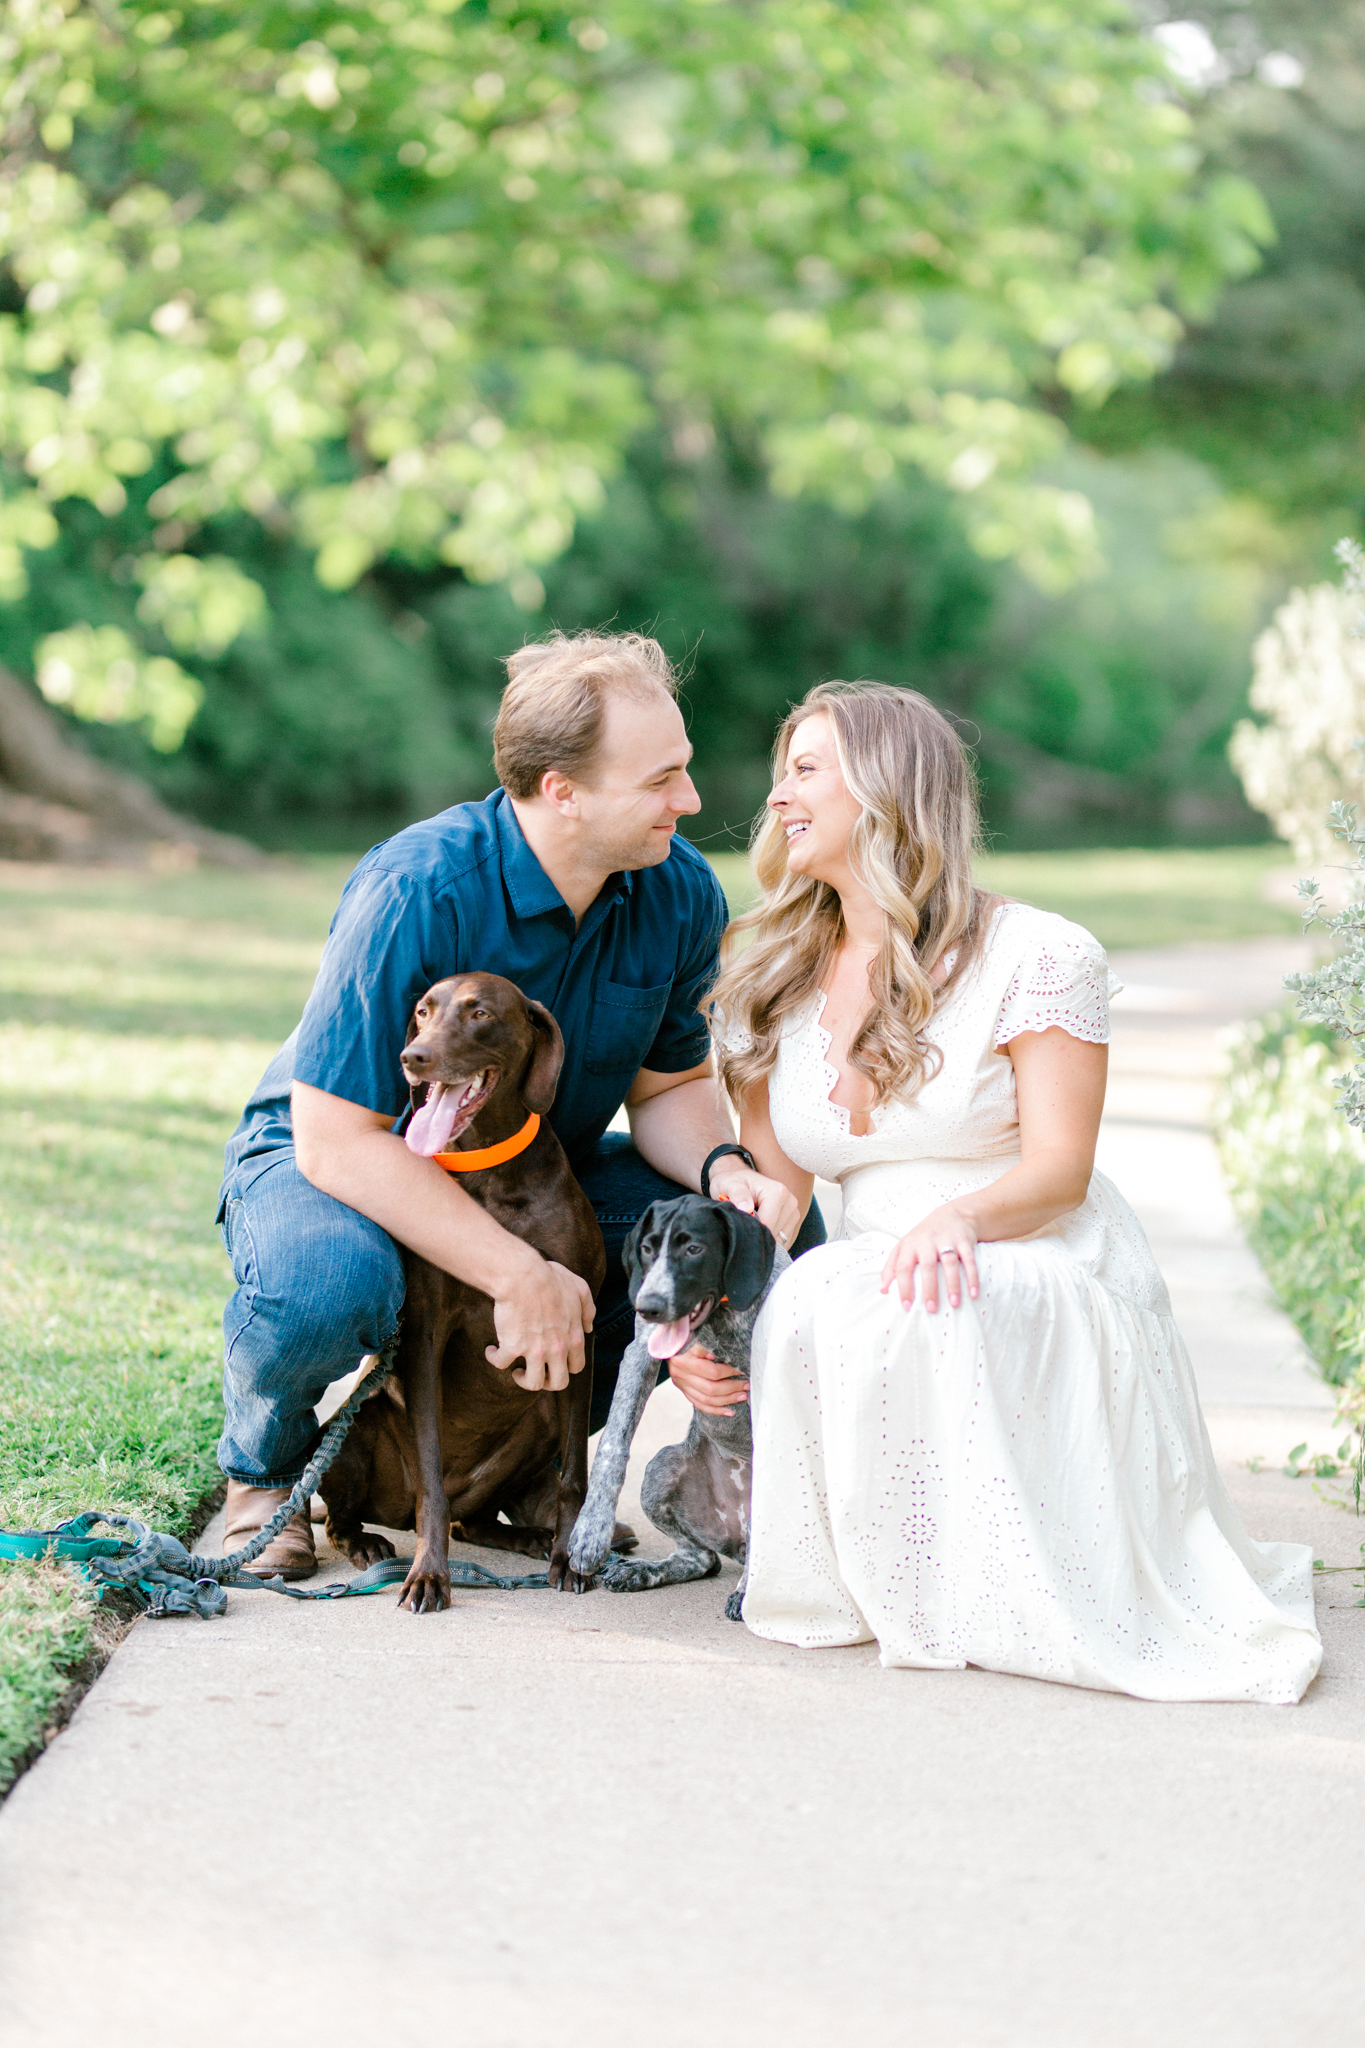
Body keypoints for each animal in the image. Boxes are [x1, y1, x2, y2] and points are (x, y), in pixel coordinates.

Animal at [321, 974, 601, 1613]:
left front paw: (568, 1554)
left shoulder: (580, 1336)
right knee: (347, 1517)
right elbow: (430, 1481)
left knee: (471, 1521)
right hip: (350, 1429)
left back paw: (528, 1536)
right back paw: (367, 1544)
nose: (413, 1058)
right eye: (423, 1012)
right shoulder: (425, 1336)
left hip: (540, 1418)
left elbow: (575, 1476)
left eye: (480, 1014)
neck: (489, 1167)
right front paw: (428, 1575)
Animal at [568, 1196, 789, 1613]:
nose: (647, 1306)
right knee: (701, 1558)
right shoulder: (640, 1352)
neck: (720, 1318)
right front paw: (591, 1530)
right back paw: (640, 1572)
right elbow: (612, 1447)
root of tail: (735, 1536)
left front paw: (748, 1591)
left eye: (694, 1249)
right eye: (647, 1249)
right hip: (661, 1469)